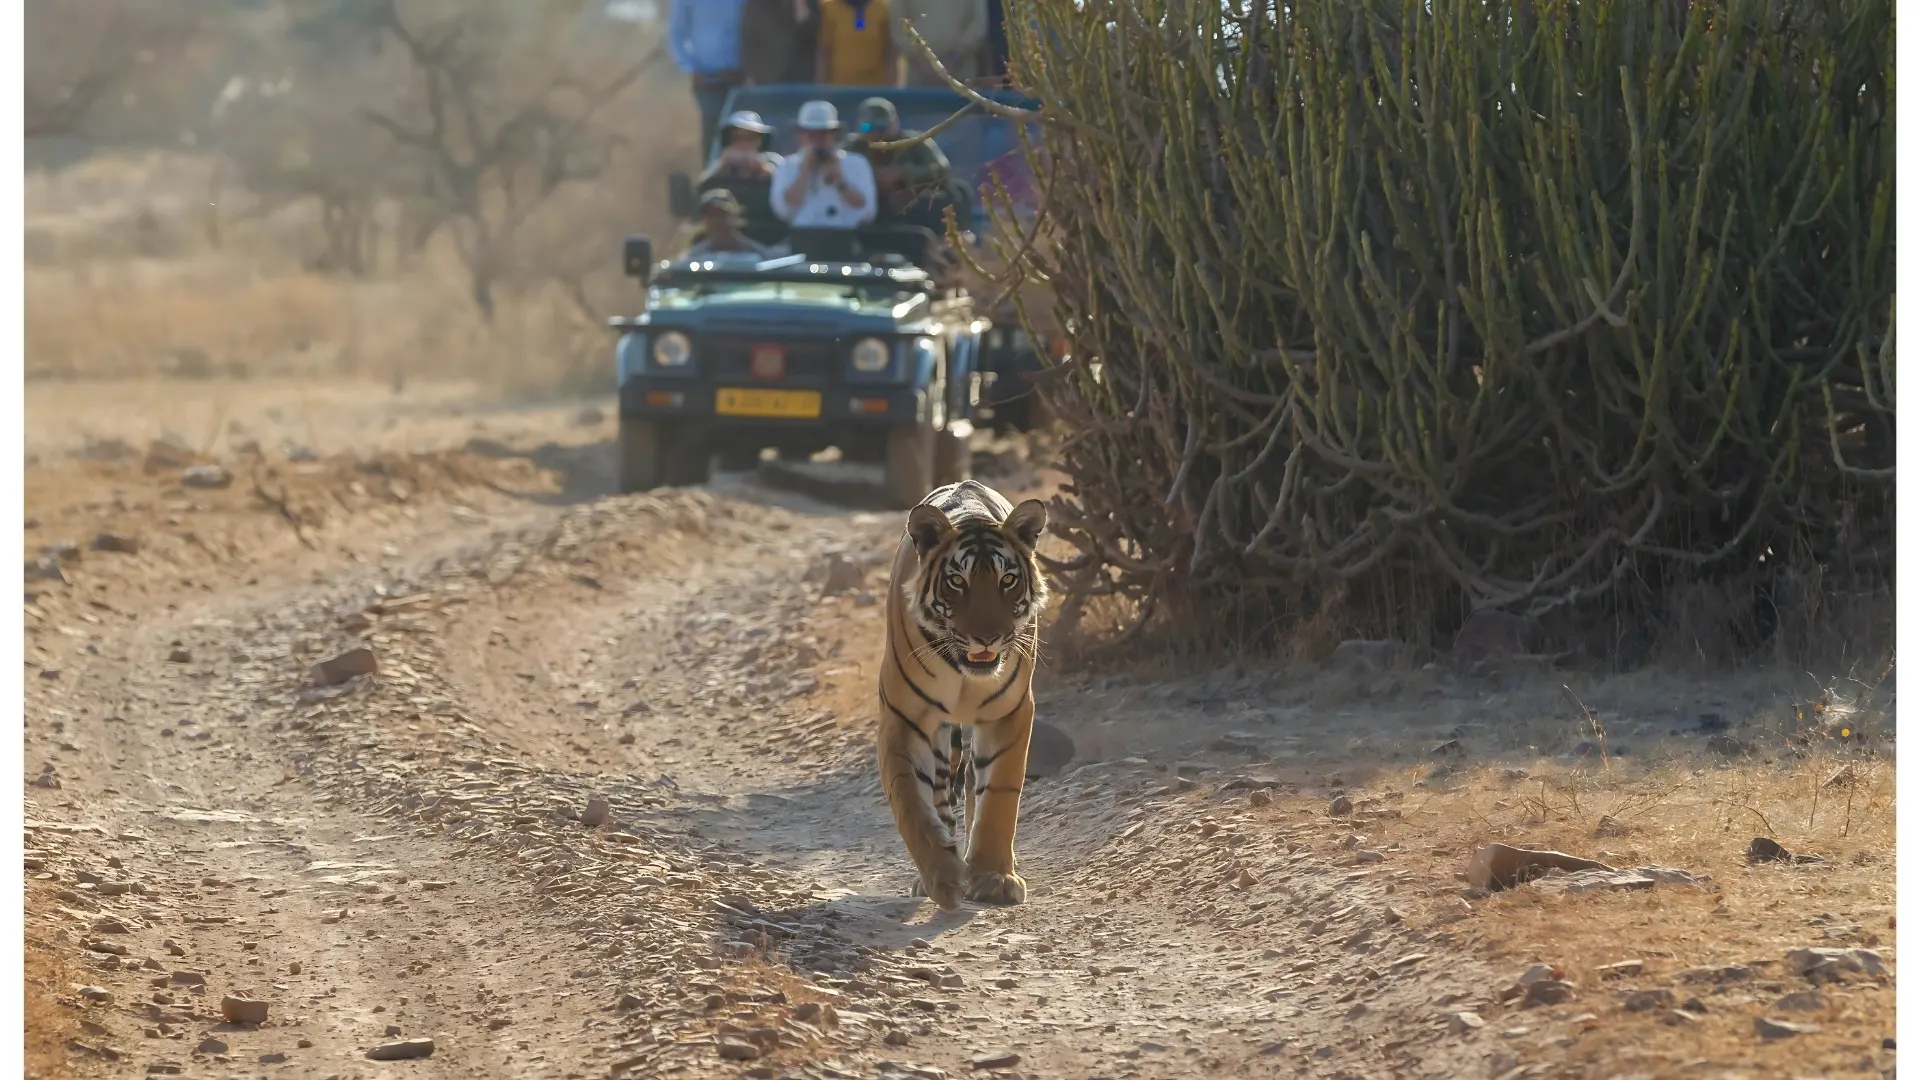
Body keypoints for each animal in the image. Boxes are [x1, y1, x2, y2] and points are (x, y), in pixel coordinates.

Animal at [876, 479, 1050, 910]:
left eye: (1008, 580)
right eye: (958, 582)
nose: (987, 637)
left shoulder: (1010, 712)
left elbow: (999, 796)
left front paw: (992, 877)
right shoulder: (904, 719)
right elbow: (910, 801)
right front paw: (942, 877)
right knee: (940, 791)